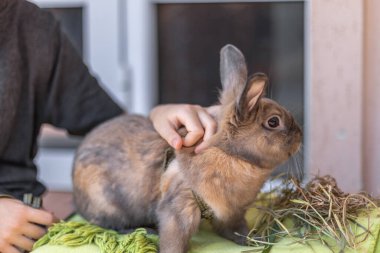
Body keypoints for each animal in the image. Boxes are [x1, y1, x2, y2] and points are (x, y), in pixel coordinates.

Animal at [72, 44, 302, 253]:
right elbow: (175, 241)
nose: (300, 135)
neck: (228, 153)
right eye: (273, 122)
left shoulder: (232, 213)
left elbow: (235, 229)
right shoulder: (179, 208)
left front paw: (252, 240)